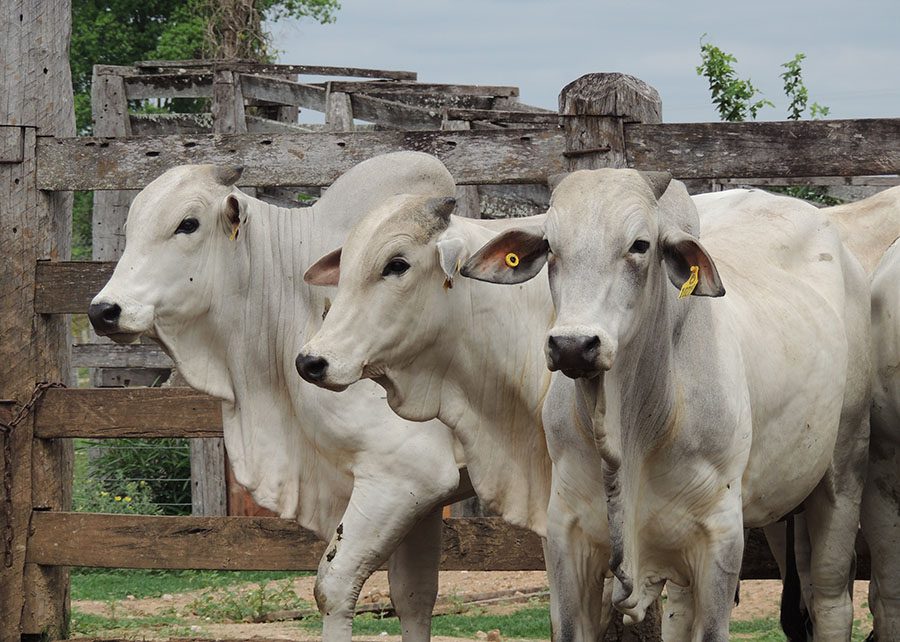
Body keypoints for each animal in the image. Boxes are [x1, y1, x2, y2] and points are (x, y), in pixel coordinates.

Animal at [88, 151, 468, 640]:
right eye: (132, 224)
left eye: (187, 223)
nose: (103, 311)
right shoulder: (425, 496)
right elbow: (414, 598)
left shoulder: (407, 475)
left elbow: (333, 587)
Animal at [460, 170, 868, 640]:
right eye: (550, 246)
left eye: (640, 244)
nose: (572, 345)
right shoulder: (566, 536)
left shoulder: (720, 538)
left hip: (842, 475)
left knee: (831, 604)